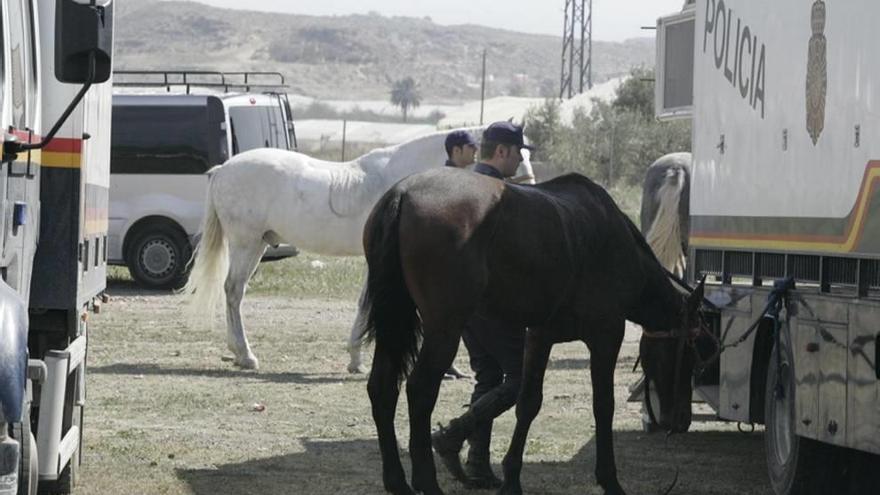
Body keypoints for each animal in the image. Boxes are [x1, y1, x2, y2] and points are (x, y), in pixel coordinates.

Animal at [182, 129, 532, 372]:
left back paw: (239, 355)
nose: (528, 189)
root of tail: (224, 168)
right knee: (233, 291)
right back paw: (246, 355)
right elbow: (371, 303)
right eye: (514, 154)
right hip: (246, 243)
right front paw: (359, 358)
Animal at [360, 169, 704, 494]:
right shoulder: (607, 335)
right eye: (689, 351)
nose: (681, 419)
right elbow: (603, 406)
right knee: (420, 390)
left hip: (397, 321)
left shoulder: (541, 336)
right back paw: (427, 482)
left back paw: (399, 481)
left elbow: (528, 403)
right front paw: (609, 480)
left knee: (382, 388)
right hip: (444, 329)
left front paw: (512, 480)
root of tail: (402, 193)